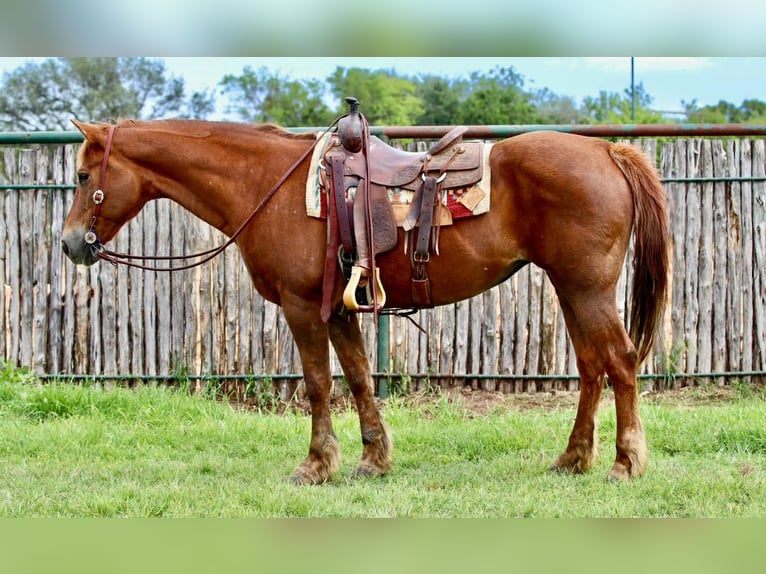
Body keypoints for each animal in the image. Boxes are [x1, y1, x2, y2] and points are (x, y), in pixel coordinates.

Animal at [61, 117, 669, 484]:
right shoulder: (337, 309)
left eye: (84, 174)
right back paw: (573, 457)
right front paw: (374, 458)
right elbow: (357, 378)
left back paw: (624, 462)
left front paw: (316, 464)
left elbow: (317, 384)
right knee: (591, 368)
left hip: (588, 289)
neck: (269, 184)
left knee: (620, 364)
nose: (71, 243)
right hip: (571, 290)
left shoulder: (302, 306)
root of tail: (607, 150)